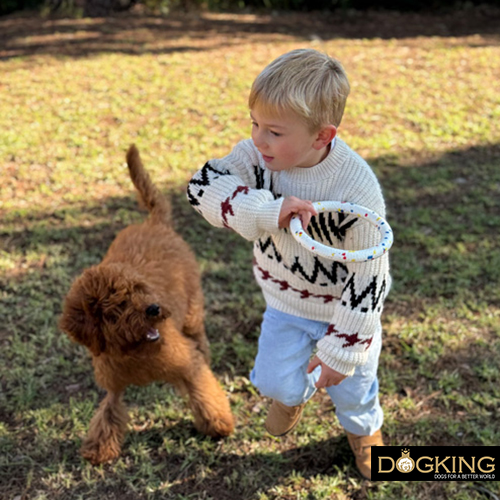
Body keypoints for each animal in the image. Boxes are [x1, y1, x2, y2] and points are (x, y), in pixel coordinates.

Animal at [59, 145, 235, 464]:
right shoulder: (114, 387)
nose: (154, 309)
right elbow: (109, 413)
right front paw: (98, 449)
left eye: (140, 290)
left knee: (200, 340)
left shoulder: (188, 364)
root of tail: (154, 221)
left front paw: (218, 424)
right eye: (117, 306)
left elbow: (204, 393)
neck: (136, 353)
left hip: (192, 313)